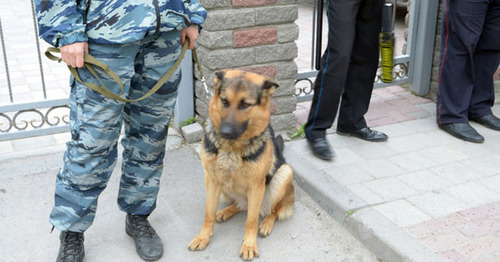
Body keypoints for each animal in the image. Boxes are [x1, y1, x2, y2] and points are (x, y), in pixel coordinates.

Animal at [189, 69, 294, 260]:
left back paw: (266, 223)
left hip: (284, 174)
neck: (231, 148)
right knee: (240, 205)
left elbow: (251, 220)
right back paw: (227, 211)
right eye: (224, 101)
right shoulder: (211, 180)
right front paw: (203, 237)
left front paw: (249, 245)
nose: (225, 132)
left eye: (245, 105)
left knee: (273, 211)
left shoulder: (256, 186)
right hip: (224, 188)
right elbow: (208, 214)